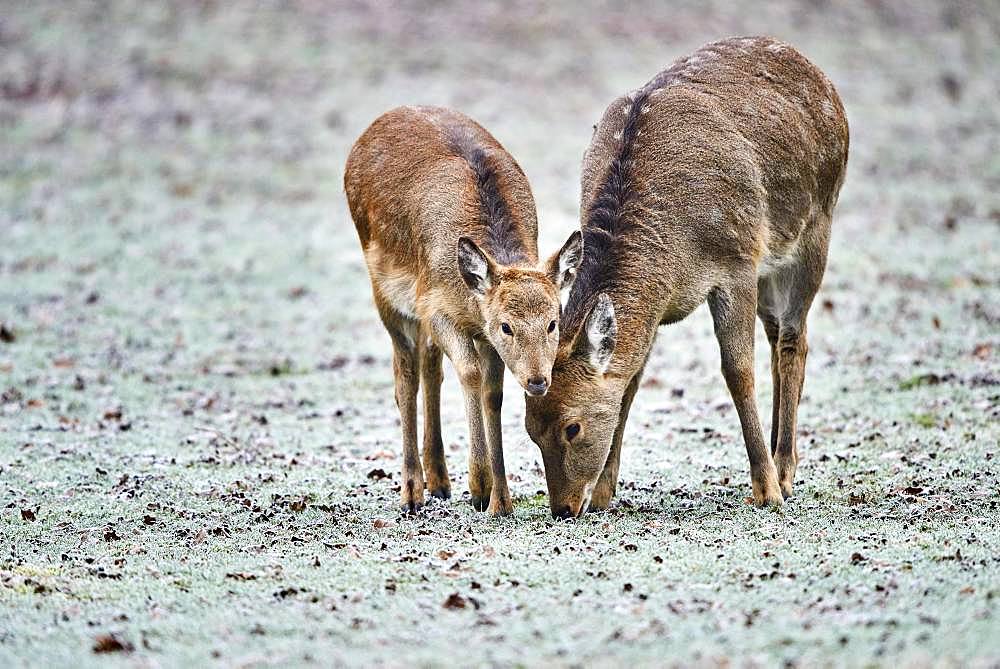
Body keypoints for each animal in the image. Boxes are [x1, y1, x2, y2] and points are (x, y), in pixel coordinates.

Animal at [344, 104, 584, 516]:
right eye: (506, 326)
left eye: (554, 322)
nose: (539, 380)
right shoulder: (435, 307)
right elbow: (470, 373)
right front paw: (480, 488)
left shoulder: (476, 333)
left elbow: (493, 393)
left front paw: (501, 500)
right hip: (385, 295)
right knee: (405, 375)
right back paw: (412, 492)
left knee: (429, 366)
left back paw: (439, 481)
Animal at [528, 36, 848, 516]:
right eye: (531, 430)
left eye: (572, 427)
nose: (564, 508)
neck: (676, 258)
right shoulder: (658, 307)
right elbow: (630, 381)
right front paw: (604, 494)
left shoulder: (737, 262)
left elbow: (737, 370)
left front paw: (766, 490)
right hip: (772, 264)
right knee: (780, 336)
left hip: (817, 226)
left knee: (794, 338)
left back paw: (785, 471)